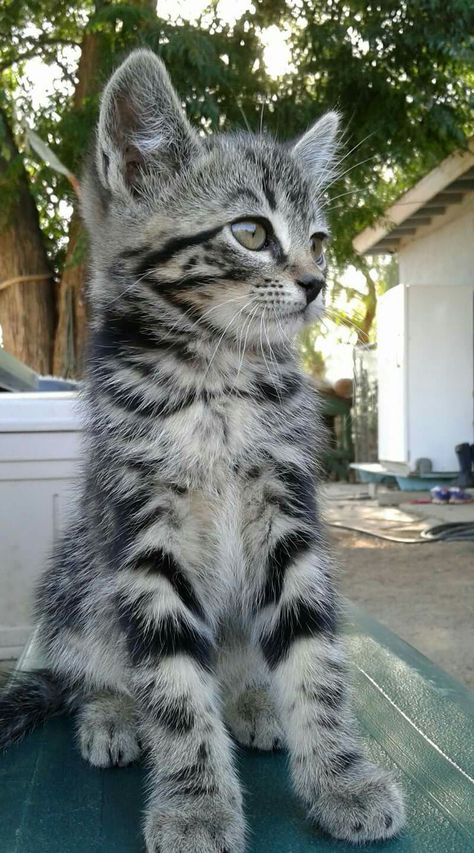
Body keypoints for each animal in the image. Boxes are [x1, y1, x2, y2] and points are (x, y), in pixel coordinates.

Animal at [1, 51, 406, 852]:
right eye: (250, 231)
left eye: (318, 240)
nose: (318, 284)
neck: (214, 379)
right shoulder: (141, 531)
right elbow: (174, 687)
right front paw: (193, 804)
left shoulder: (288, 514)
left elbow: (312, 658)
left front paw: (341, 778)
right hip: (78, 583)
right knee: (93, 668)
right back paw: (110, 714)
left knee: (241, 662)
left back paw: (252, 701)